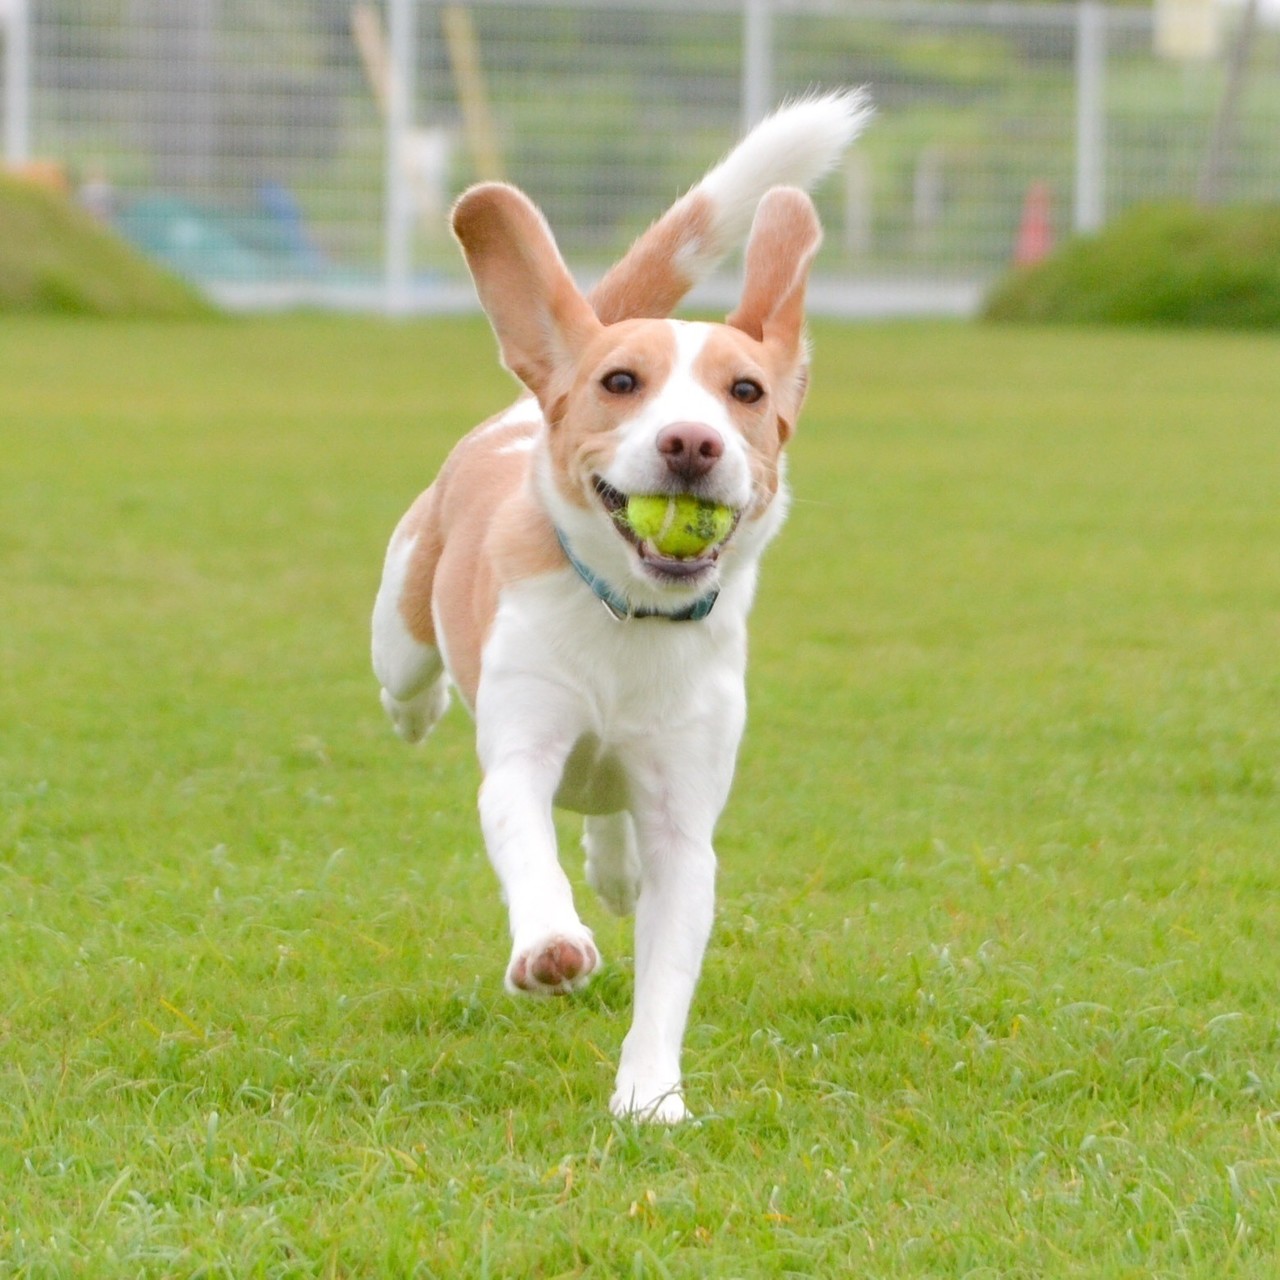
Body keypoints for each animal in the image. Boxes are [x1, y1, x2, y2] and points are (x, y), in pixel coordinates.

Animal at [371, 90, 870, 1121]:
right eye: (621, 384)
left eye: (745, 391)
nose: (690, 442)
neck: (628, 622)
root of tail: (526, 401)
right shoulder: (521, 754)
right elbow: (528, 846)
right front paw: (551, 949)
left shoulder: (685, 818)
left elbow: (669, 965)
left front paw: (651, 1097)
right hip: (401, 609)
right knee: (406, 675)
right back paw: (421, 709)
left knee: (608, 820)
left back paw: (614, 866)